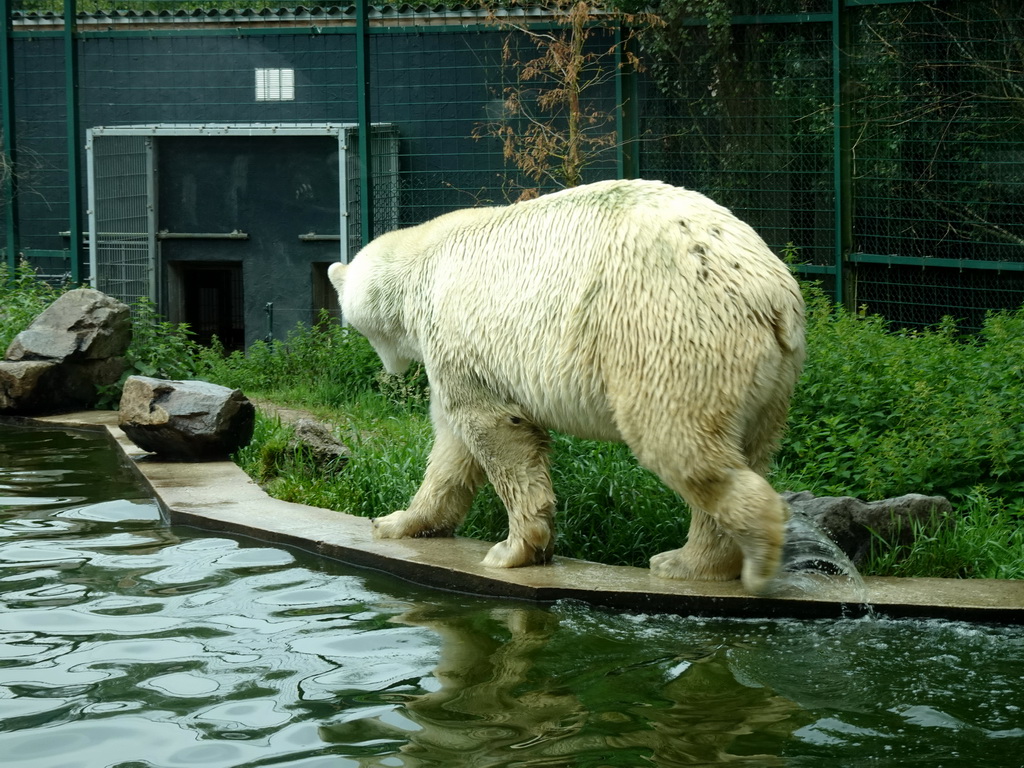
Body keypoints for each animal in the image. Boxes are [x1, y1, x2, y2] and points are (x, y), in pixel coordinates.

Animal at [325, 180, 798, 593]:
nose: (388, 370)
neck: (423, 263)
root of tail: (769, 292)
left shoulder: (456, 333)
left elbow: (494, 429)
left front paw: (513, 550)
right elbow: (451, 449)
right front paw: (396, 522)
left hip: (669, 330)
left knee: (678, 442)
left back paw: (741, 552)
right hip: (769, 376)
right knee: (750, 445)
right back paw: (695, 563)